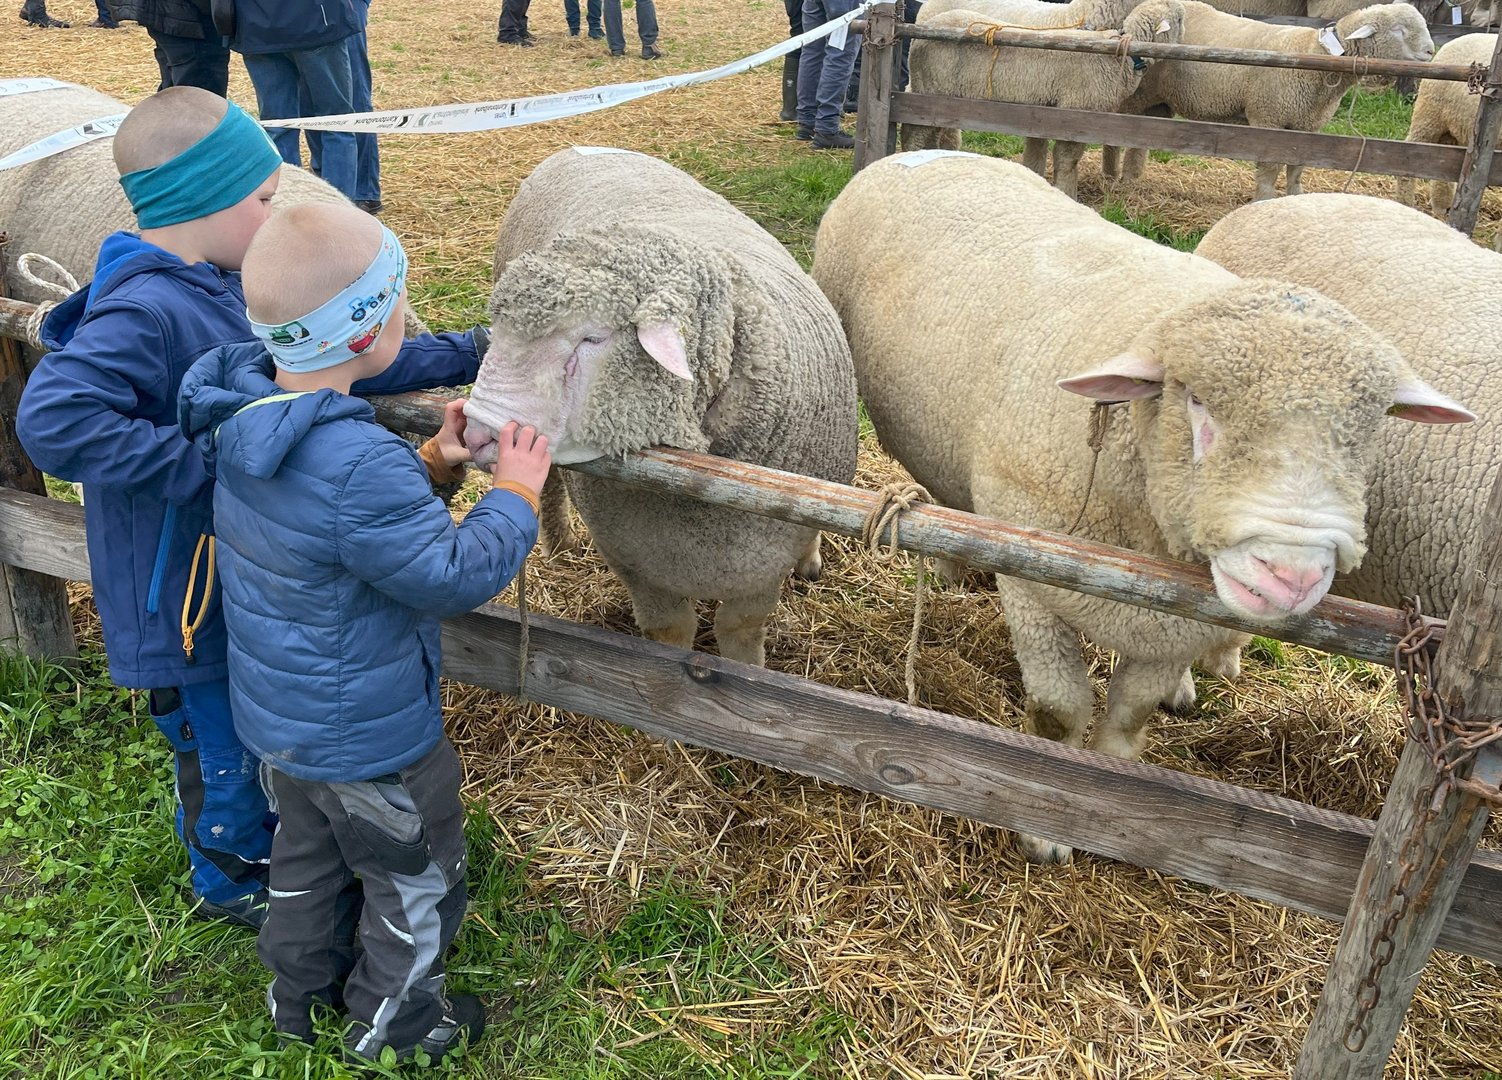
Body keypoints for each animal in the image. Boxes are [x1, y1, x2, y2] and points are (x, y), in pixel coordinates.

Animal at [463, 147, 858, 667]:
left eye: (593, 338)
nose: (474, 434)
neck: (704, 491)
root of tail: (576, 148)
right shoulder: (634, 560)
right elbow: (670, 631)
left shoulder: (762, 565)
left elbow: (741, 631)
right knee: (547, 486)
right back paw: (559, 543)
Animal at [904, 0, 1187, 199]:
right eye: (1181, 18)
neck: (1123, 56)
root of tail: (919, 34)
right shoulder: (1076, 111)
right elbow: (1067, 160)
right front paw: (1067, 193)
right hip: (929, 90)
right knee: (914, 133)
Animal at [1102, 2, 1435, 200]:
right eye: (1399, 30)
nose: (1431, 52)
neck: (1318, 56)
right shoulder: (1269, 118)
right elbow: (1270, 166)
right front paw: (1264, 199)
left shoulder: (1308, 126)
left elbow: (1297, 167)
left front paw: (1295, 197)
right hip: (1137, 94)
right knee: (1117, 134)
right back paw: (1115, 178)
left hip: (1159, 102)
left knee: (1141, 139)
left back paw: (1134, 179)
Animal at [1395, 34, 1499, 217]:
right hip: (1429, 115)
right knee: (1409, 156)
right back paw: (1406, 204)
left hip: (1454, 128)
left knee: (1442, 166)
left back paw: (1441, 207)